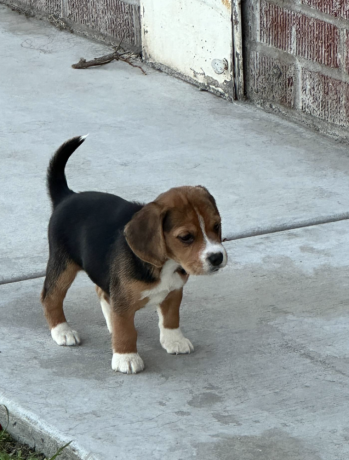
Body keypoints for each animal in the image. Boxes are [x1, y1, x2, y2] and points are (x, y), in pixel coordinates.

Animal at [40, 137, 227, 374]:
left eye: (217, 226)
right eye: (185, 237)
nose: (217, 258)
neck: (165, 264)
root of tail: (67, 196)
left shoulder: (174, 291)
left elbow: (171, 318)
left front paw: (174, 340)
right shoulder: (124, 299)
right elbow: (127, 331)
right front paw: (126, 357)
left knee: (101, 292)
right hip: (63, 266)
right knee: (50, 297)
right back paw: (62, 331)